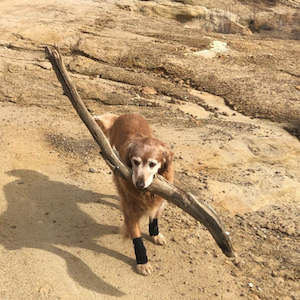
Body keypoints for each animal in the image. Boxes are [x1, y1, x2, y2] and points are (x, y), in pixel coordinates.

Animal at [94, 112, 173, 274]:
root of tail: (125, 114)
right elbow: (137, 239)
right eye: (135, 162)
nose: (140, 184)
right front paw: (142, 262)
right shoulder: (131, 212)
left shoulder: (159, 202)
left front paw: (155, 234)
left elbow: (154, 219)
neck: (146, 194)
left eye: (152, 164)